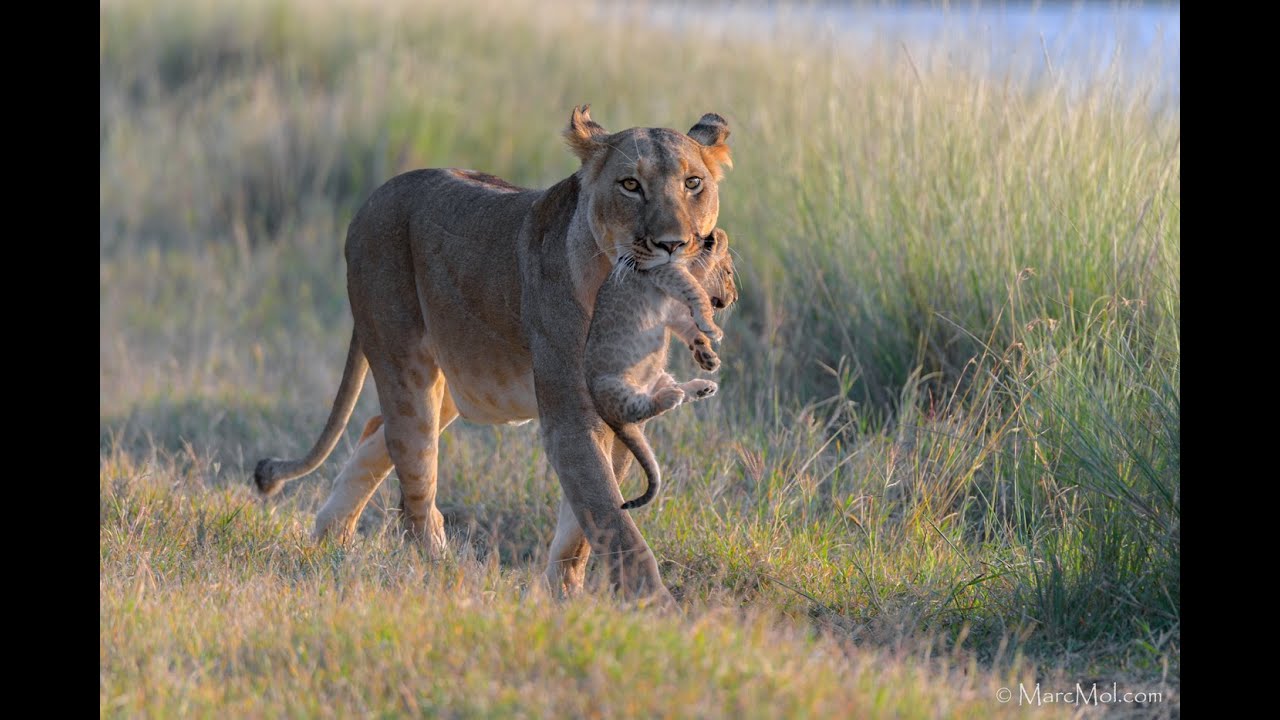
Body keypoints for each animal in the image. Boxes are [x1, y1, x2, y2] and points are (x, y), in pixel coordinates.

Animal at [586, 227, 737, 511]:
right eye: (729, 273)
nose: (735, 298)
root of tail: (606, 414)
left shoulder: (675, 312)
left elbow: (690, 329)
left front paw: (708, 357)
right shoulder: (665, 272)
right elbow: (698, 294)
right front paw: (714, 329)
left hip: (661, 374)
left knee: (668, 393)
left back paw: (703, 388)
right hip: (613, 388)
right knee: (644, 408)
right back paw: (671, 396)